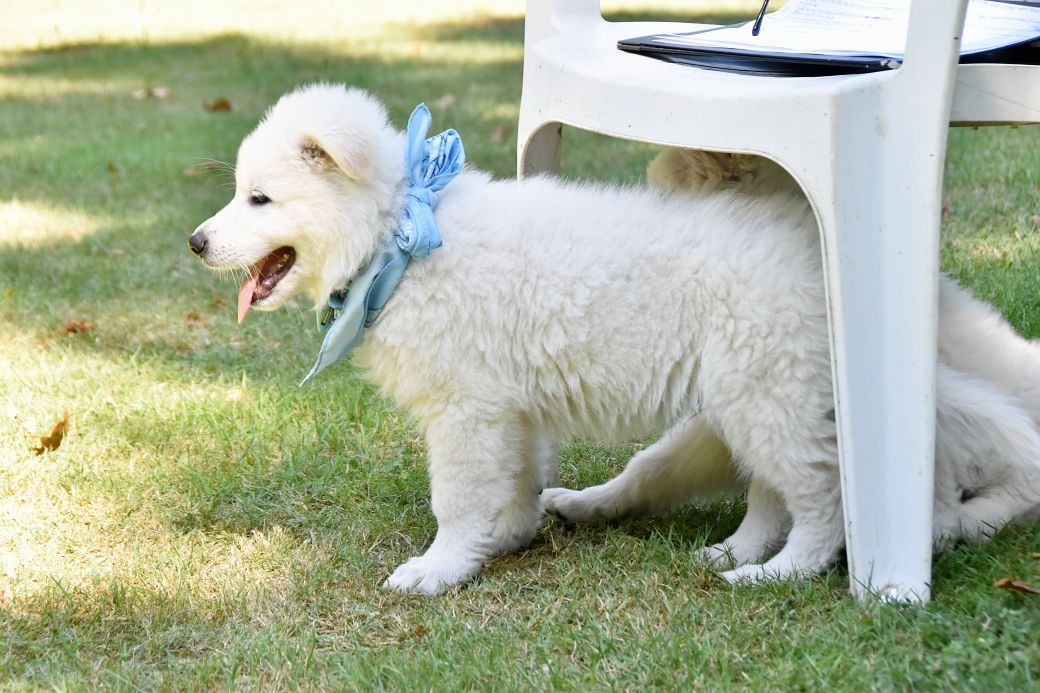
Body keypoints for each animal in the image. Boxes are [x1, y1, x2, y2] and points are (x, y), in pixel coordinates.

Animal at [190, 85, 1040, 594]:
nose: (197, 242)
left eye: (259, 199)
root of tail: (813, 240)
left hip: (767, 392)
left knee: (823, 500)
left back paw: (777, 574)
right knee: (773, 490)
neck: (400, 240)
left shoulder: (467, 410)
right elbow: (517, 482)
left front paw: (440, 567)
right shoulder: (511, 409)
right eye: (239, 193)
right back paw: (735, 551)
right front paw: (507, 538)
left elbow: (456, 496)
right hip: (764, 394)